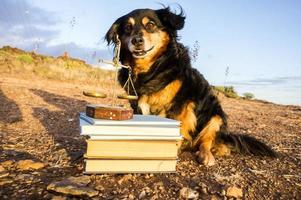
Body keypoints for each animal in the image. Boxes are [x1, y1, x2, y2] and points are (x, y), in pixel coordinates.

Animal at [104, 6, 276, 166]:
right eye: (127, 28)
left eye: (151, 25)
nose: (136, 40)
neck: (150, 70)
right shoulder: (135, 102)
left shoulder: (180, 105)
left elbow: (177, 128)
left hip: (216, 116)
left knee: (207, 141)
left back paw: (207, 154)